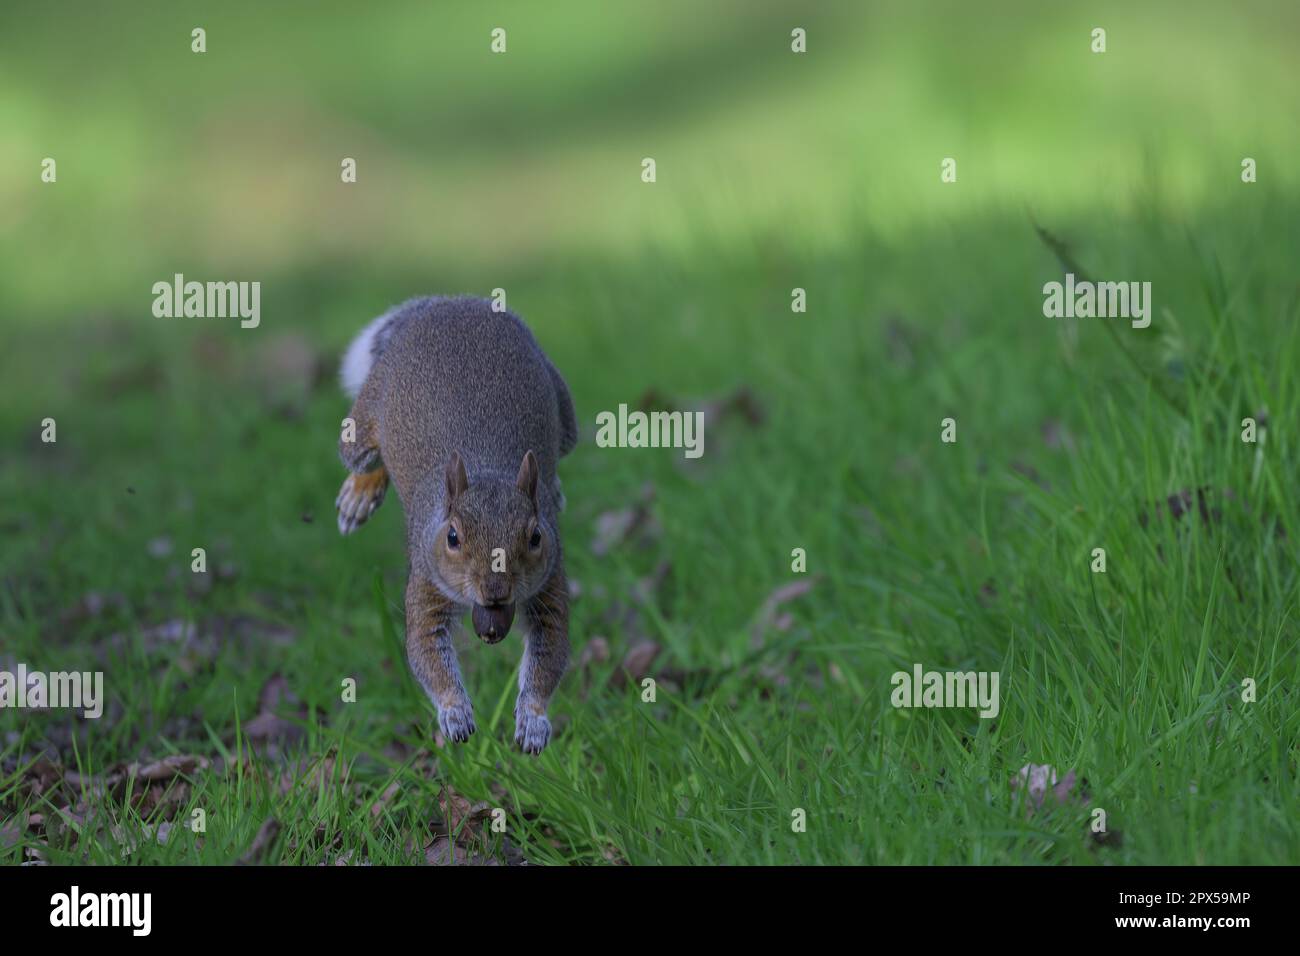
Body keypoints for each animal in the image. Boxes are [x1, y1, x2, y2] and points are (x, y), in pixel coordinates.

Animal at [338, 299, 577, 754]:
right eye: (452, 537)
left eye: (536, 536)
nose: (495, 591)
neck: (488, 470)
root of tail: (450, 305)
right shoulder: (426, 580)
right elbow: (426, 650)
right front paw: (454, 712)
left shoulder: (551, 580)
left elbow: (550, 648)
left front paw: (534, 719)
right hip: (362, 423)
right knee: (366, 456)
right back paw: (359, 492)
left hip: (565, 410)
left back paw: (555, 487)